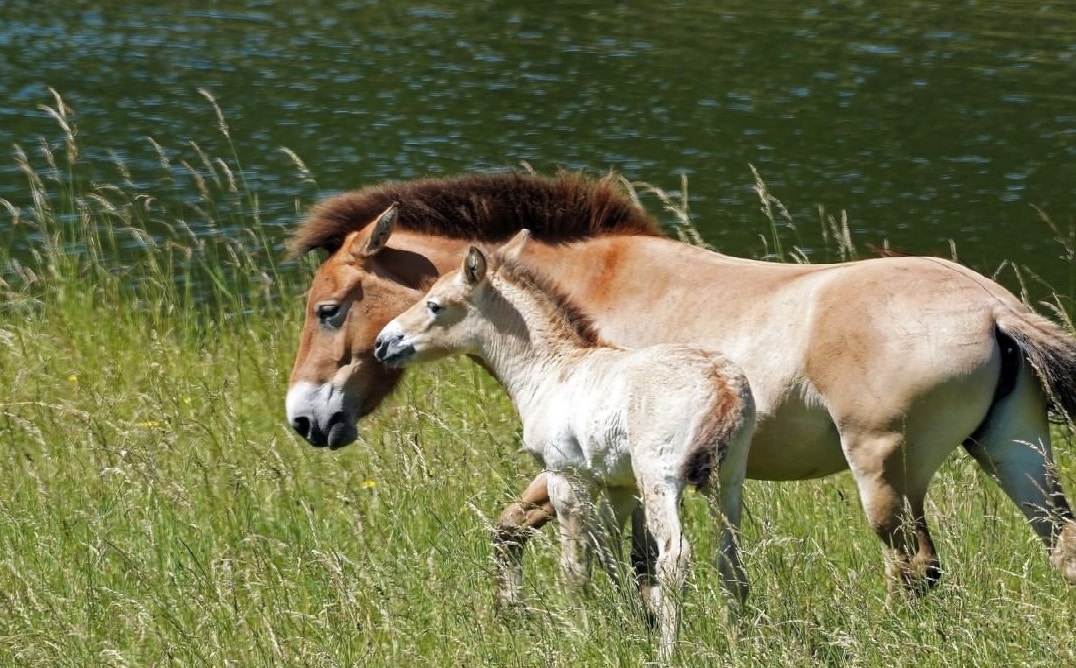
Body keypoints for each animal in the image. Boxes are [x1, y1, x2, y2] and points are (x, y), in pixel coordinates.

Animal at [284, 171, 1076, 589]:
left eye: (328, 308)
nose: (305, 419)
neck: (584, 295)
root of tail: (994, 307)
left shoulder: (580, 466)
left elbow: (522, 537)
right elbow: (605, 557)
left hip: (886, 472)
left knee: (915, 568)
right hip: (1015, 453)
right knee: (1060, 546)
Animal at [374, 232, 753, 658]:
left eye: (435, 305)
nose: (383, 343)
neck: (550, 371)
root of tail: (722, 387)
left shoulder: (565, 477)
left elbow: (574, 566)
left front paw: (581, 634)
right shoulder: (617, 484)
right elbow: (606, 548)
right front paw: (630, 621)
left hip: (660, 478)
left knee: (675, 558)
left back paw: (667, 652)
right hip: (728, 478)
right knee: (731, 559)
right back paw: (736, 642)